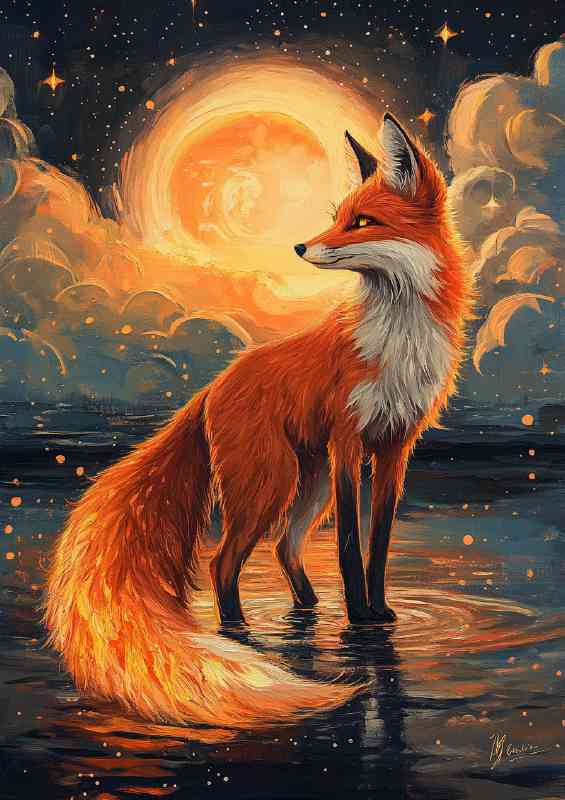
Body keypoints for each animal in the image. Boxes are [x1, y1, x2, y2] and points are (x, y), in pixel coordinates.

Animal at [44, 113, 472, 728]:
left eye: (362, 222)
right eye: (337, 217)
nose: (300, 245)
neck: (398, 337)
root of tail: (213, 385)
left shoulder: (396, 446)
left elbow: (379, 542)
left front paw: (379, 611)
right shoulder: (349, 441)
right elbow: (350, 543)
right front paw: (359, 618)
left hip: (306, 485)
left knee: (284, 549)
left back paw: (308, 608)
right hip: (270, 481)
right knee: (224, 563)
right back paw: (237, 631)